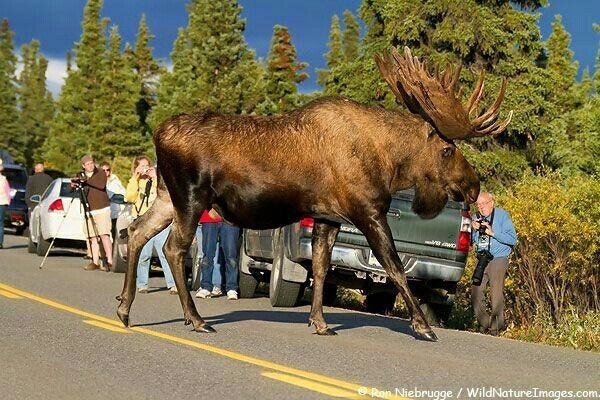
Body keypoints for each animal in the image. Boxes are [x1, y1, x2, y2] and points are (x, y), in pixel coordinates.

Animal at [116, 47, 510, 340]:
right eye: (447, 150)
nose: (472, 185)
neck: (389, 162)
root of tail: (159, 134)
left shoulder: (327, 216)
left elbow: (321, 268)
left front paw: (319, 322)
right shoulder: (368, 211)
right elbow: (395, 267)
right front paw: (423, 326)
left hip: (167, 197)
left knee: (135, 231)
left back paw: (124, 308)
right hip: (192, 197)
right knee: (172, 248)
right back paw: (195, 319)